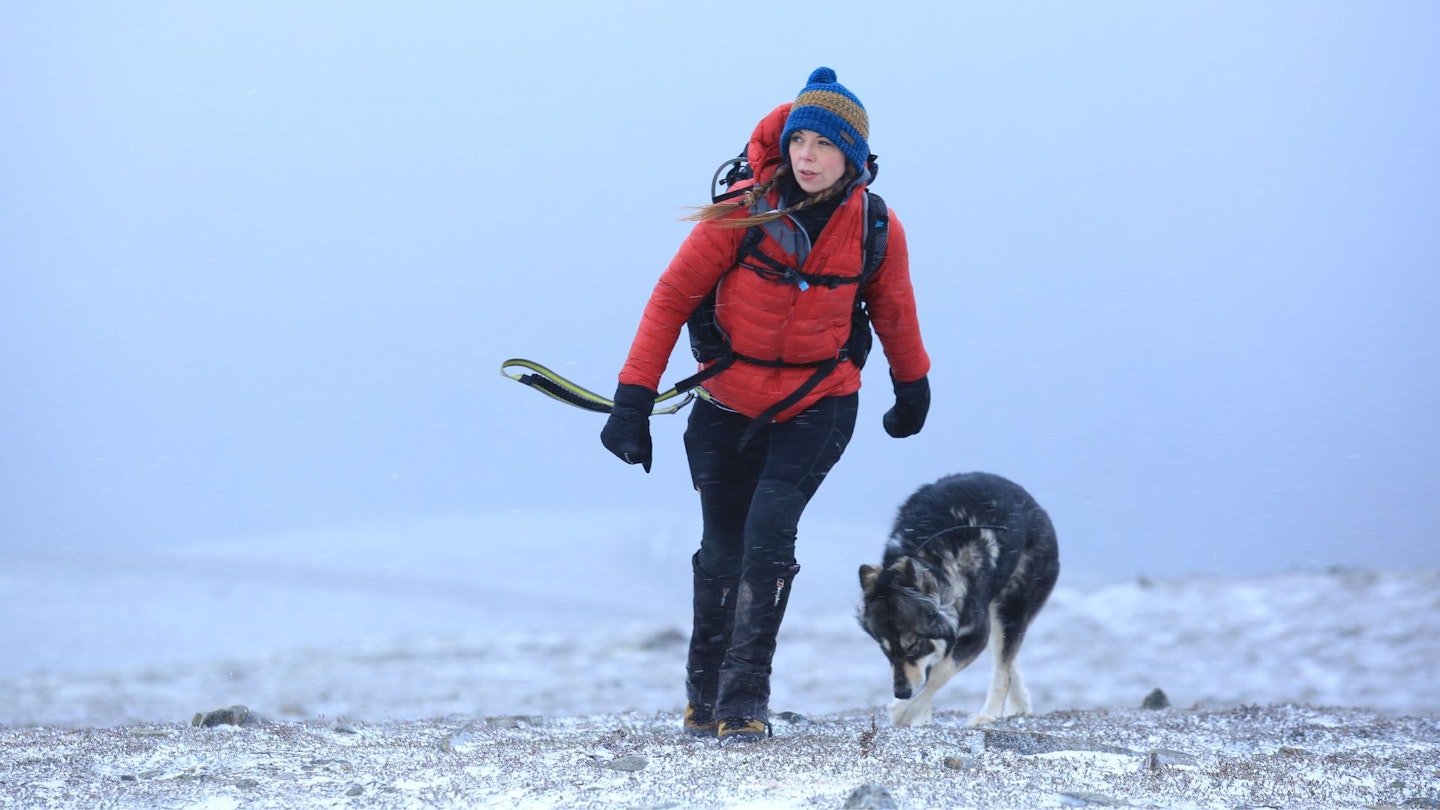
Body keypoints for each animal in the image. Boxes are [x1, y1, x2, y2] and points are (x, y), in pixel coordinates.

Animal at [852, 469, 1059, 720]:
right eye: (885, 649)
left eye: (912, 645)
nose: (901, 692)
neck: (935, 561)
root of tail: (1037, 508)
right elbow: (932, 672)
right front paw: (919, 717)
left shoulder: (976, 634)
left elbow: (939, 673)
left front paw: (903, 712)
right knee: (1008, 662)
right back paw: (1019, 706)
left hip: (1009, 609)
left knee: (1003, 669)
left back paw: (986, 717)